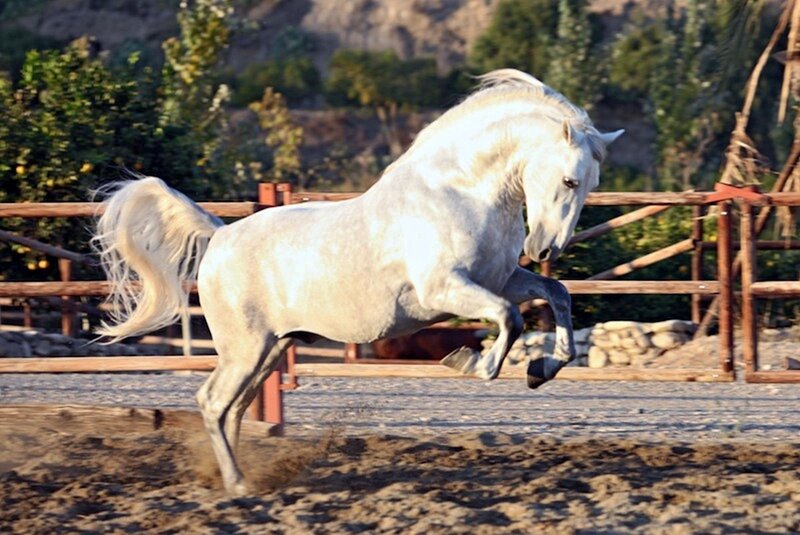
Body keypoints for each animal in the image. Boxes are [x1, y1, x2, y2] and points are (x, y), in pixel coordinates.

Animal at [92, 69, 623, 495]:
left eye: (592, 185)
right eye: (571, 181)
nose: (546, 249)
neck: (463, 193)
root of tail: (219, 235)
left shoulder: (503, 277)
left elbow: (557, 296)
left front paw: (542, 369)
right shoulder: (445, 289)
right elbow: (510, 319)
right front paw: (470, 362)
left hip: (269, 350)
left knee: (231, 409)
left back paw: (239, 476)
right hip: (246, 349)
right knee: (212, 402)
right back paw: (239, 485)